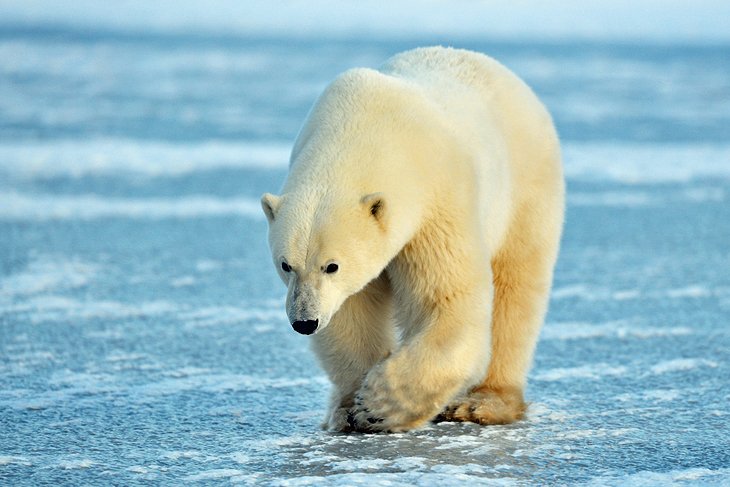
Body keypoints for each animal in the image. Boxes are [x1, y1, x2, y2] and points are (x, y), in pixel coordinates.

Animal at [262, 46, 564, 434]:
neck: (366, 128)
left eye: (332, 266)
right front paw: (351, 408)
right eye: (286, 265)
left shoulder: (437, 201)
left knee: (516, 289)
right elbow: (350, 313)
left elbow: (447, 300)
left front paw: (379, 404)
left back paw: (484, 402)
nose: (304, 322)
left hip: (525, 189)